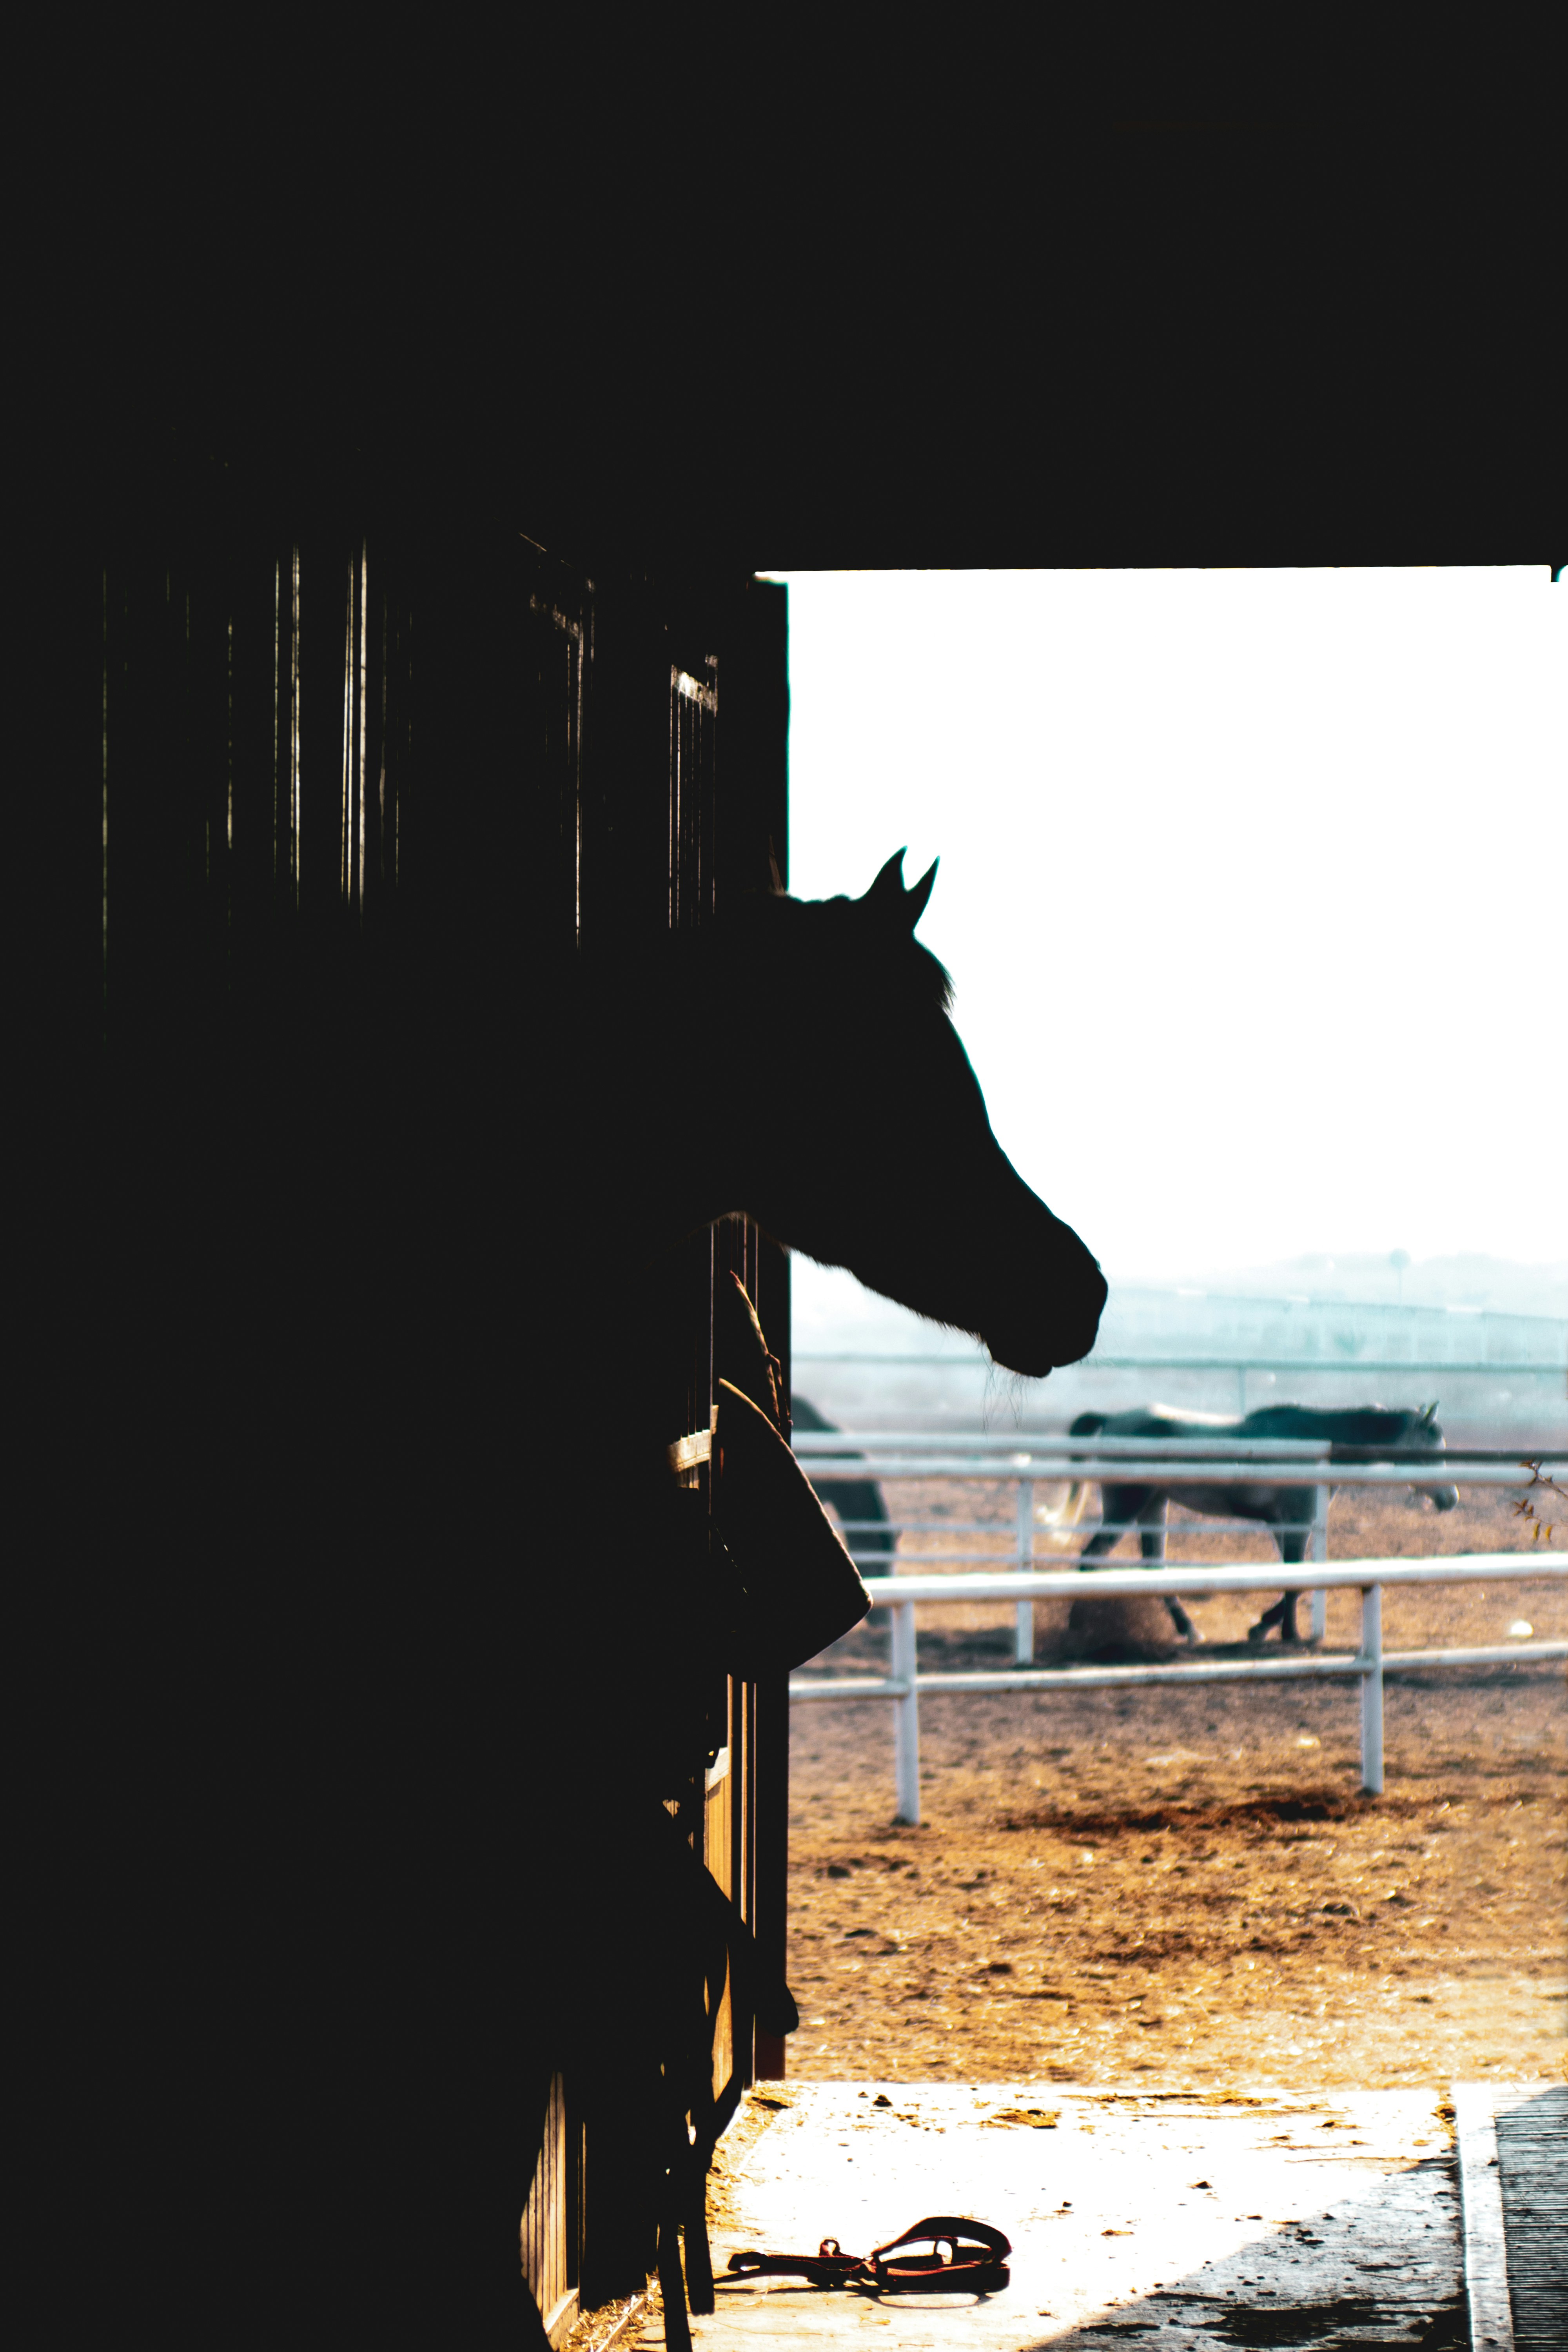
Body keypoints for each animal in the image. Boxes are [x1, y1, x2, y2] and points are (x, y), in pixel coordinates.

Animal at [1068, 1403, 1458, 1644]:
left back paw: (1189, 1630)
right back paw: (1077, 1628)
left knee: (1153, 1566)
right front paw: (1282, 1633)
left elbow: (1293, 1578)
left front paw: (1267, 1629)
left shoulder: (1283, 1525)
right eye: (1432, 1447)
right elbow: (1296, 1580)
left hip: (1154, 1506)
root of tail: (1113, 1419)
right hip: (1126, 1507)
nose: (1450, 1499)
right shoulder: (1297, 1523)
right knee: (1089, 1559)